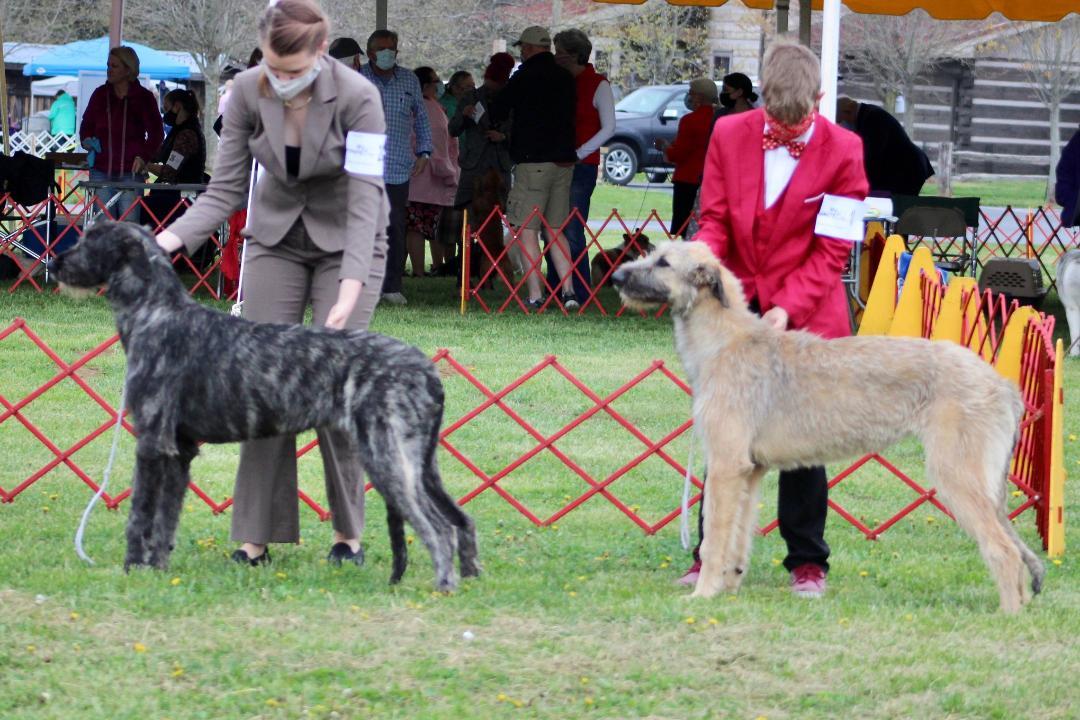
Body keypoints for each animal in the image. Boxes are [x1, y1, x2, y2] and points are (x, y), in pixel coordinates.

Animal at [53, 222, 480, 591]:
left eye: (90, 239)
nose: (54, 264)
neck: (156, 312)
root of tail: (427, 368)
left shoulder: (152, 442)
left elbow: (140, 514)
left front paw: (132, 569)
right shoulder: (179, 451)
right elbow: (165, 519)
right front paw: (158, 567)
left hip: (387, 454)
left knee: (438, 527)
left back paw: (444, 585)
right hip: (422, 460)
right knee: (461, 519)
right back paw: (472, 578)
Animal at [612, 242, 1044, 613]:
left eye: (664, 262)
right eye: (652, 252)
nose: (616, 275)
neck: (726, 341)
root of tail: (1004, 384)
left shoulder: (724, 466)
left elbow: (715, 538)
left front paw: (703, 594)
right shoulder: (749, 471)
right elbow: (738, 536)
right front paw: (728, 586)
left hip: (958, 473)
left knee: (1004, 550)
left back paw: (1008, 615)